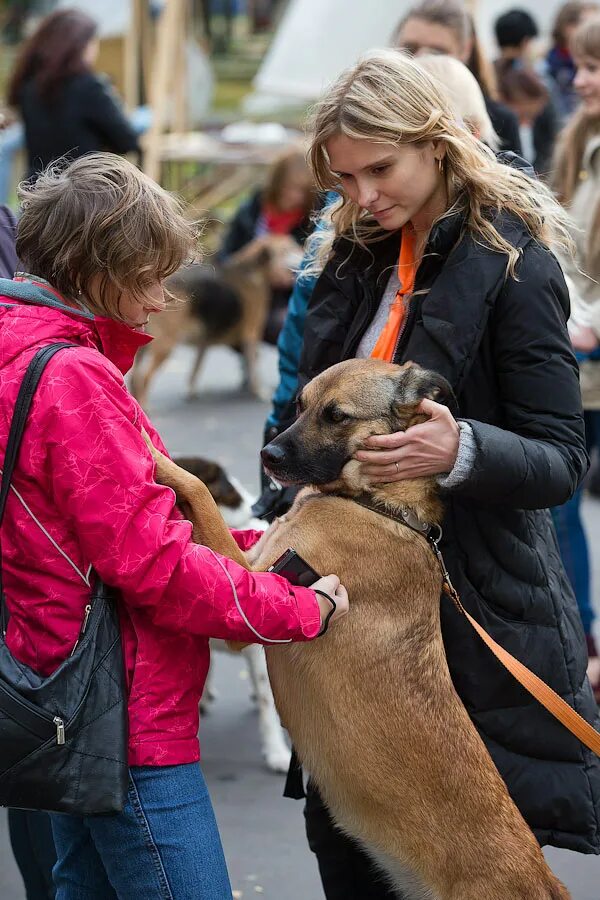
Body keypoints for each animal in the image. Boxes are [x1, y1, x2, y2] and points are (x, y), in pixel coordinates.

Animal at [130, 234, 300, 406]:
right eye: (287, 249)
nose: (304, 250)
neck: (253, 271)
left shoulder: (204, 339)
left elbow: (196, 366)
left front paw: (191, 391)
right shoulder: (251, 333)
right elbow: (254, 367)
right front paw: (258, 391)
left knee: (135, 377)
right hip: (165, 345)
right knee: (144, 378)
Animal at [145, 360, 572, 900]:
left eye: (337, 416)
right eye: (301, 404)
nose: (267, 455)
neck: (376, 503)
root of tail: (545, 880)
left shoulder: (246, 597)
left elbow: (196, 490)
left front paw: (153, 452)